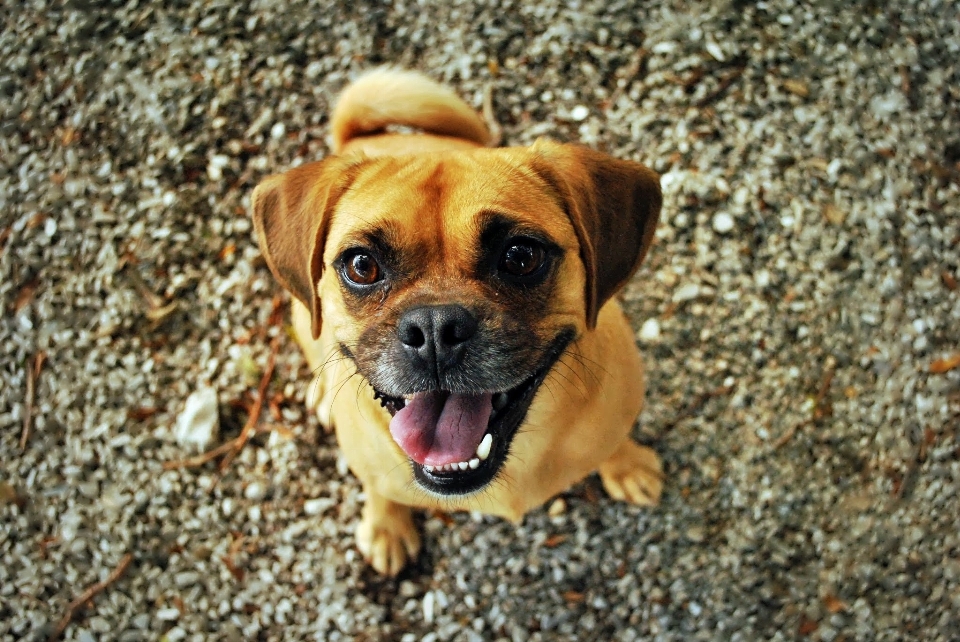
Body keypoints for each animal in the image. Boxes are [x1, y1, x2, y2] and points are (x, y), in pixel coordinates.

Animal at [251, 67, 664, 572]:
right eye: (362, 265)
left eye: (521, 256)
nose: (434, 329)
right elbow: (378, 488)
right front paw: (386, 526)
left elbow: (616, 442)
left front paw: (628, 465)